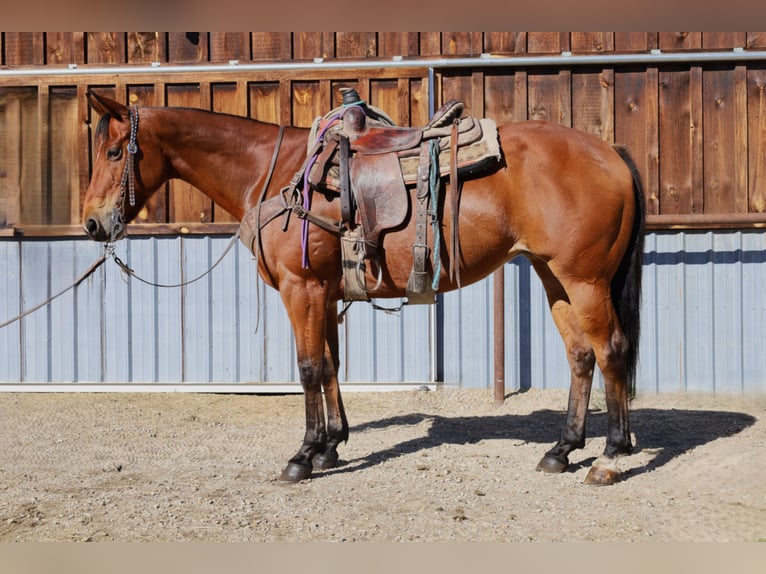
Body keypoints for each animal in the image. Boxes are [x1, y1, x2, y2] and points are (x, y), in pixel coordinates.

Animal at [82, 90, 645, 486]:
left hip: (585, 280)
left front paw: (303, 456)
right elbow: (331, 366)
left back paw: (611, 457)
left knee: (612, 351)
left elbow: (308, 368)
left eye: (113, 151)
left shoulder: (302, 289)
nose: (90, 223)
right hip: (554, 276)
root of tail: (611, 151)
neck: (275, 174)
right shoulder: (325, 293)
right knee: (581, 356)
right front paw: (332, 445)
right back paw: (562, 450)